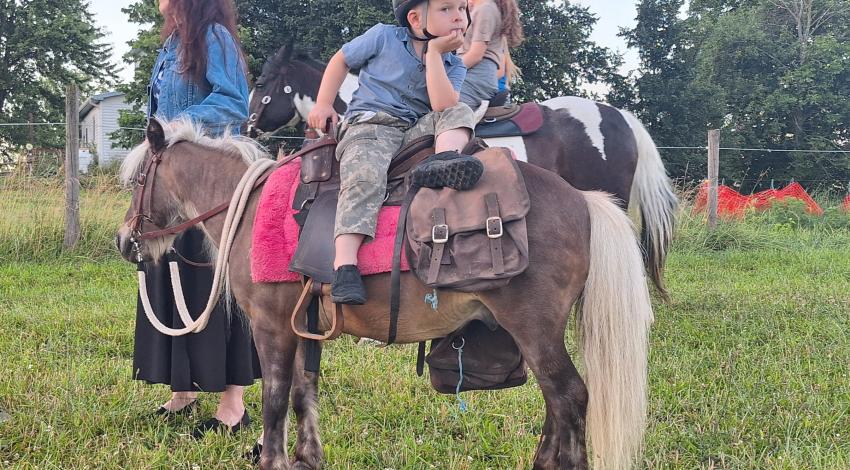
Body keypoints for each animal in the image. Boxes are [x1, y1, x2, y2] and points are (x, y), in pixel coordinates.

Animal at [116, 119, 652, 470]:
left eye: (138, 180)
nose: (125, 241)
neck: (249, 206)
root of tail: (582, 200)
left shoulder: (271, 326)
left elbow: (274, 398)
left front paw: (273, 459)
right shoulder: (303, 325)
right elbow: (303, 392)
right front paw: (307, 457)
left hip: (534, 329)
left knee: (568, 397)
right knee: (556, 404)